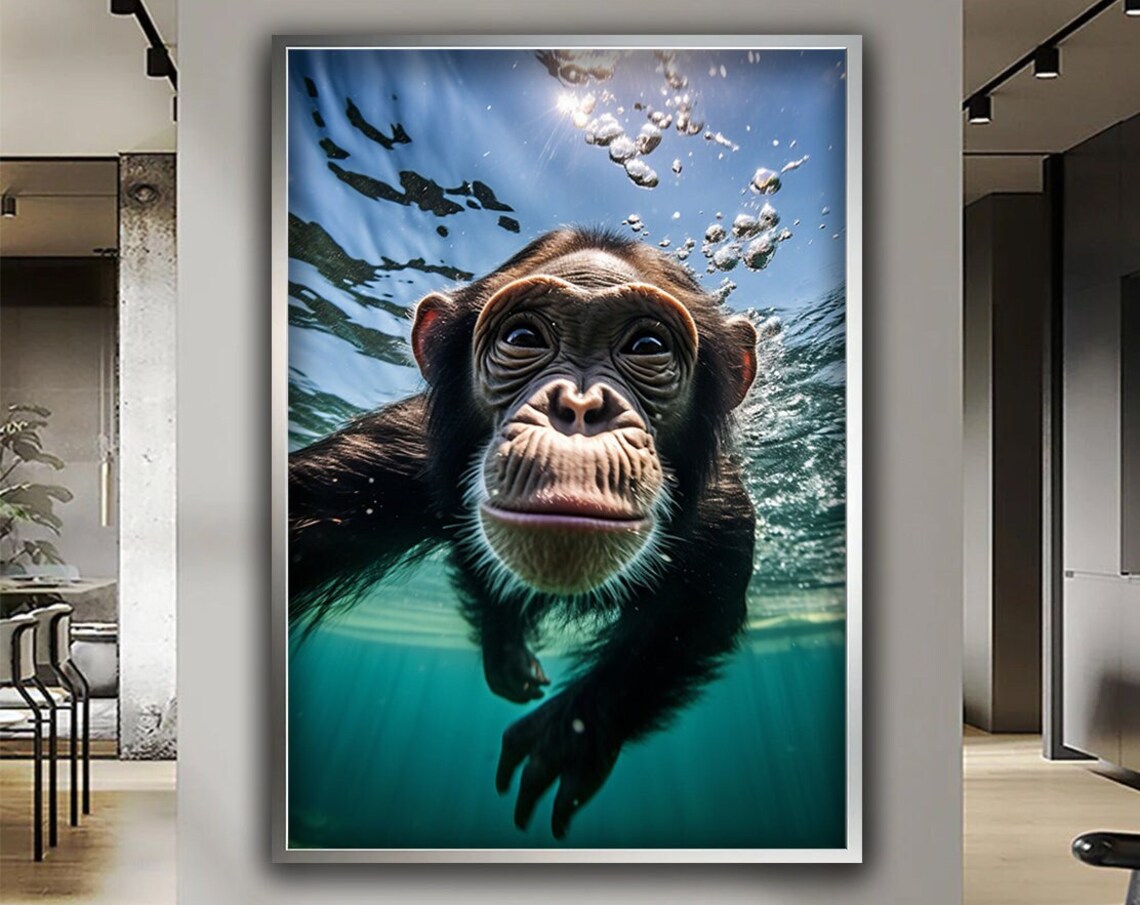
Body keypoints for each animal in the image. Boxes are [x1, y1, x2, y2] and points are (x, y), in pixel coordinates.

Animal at [289, 227, 758, 839]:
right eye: (522, 338)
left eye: (647, 348)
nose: (579, 407)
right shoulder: (383, 461)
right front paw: (508, 650)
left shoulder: (726, 524)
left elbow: (691, 619)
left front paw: (570, 735)